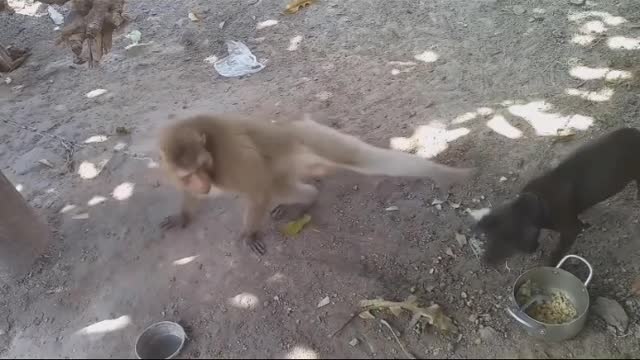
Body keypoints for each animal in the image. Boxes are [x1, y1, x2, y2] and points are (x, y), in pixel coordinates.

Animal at [157, 114, 472, 255]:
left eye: (201, 168)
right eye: (187, 175)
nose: (200, 182)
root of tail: (291, 131)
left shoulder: (234, 161)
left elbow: (257, 190)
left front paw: (250, 233)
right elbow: (190, 197)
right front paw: (183, 215)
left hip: (312, 139)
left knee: (360, 158)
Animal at [478, 128, 640, 266]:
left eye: (505, 240)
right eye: (489, 236)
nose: (485, 261)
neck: (539, 203)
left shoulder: (569, 230)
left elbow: (557, 252)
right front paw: (586, 225)